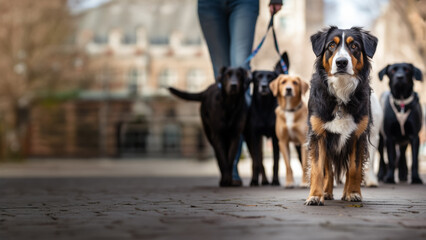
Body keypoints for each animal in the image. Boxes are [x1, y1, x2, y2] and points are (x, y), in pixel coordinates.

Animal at [246, 52, 300, 186]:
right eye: (258, 77)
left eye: (270, 77)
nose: (264, 86)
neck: (264, 108)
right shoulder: (255, 136)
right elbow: (256, 161)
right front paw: (254, 181)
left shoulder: (276, 138)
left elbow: (276, 162)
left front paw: (275, 180)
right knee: (258, 160)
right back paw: (264, 180)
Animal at [304, 26, 378, 206]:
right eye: (331, 45)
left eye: (354, 46)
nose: (341, 62)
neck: (341, 91)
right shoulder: (318, 134)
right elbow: (318, 169)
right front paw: (315, 196)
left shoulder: (358, 136)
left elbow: (354, 168)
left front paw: (353, 193)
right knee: (328, 170)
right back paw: (326, 192)